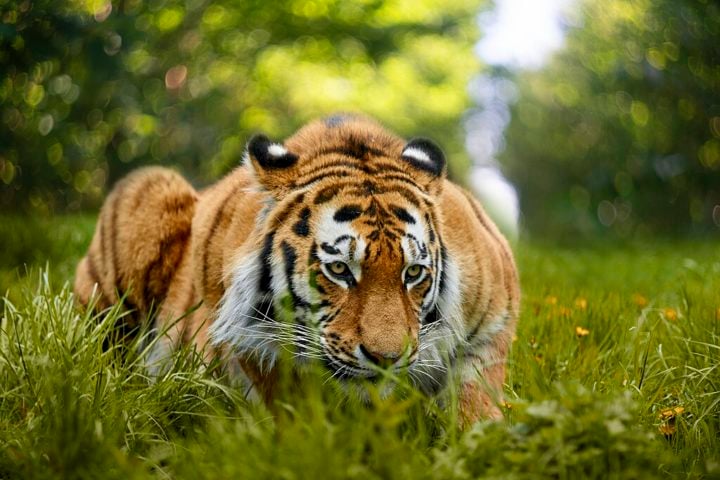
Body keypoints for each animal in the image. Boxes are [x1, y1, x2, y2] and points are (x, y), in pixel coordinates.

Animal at [74, 114, 520, 423]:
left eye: (413, 273)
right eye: (339, 269)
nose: (386, 359)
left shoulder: (492, 320)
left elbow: (475, 403)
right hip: (146, 193)